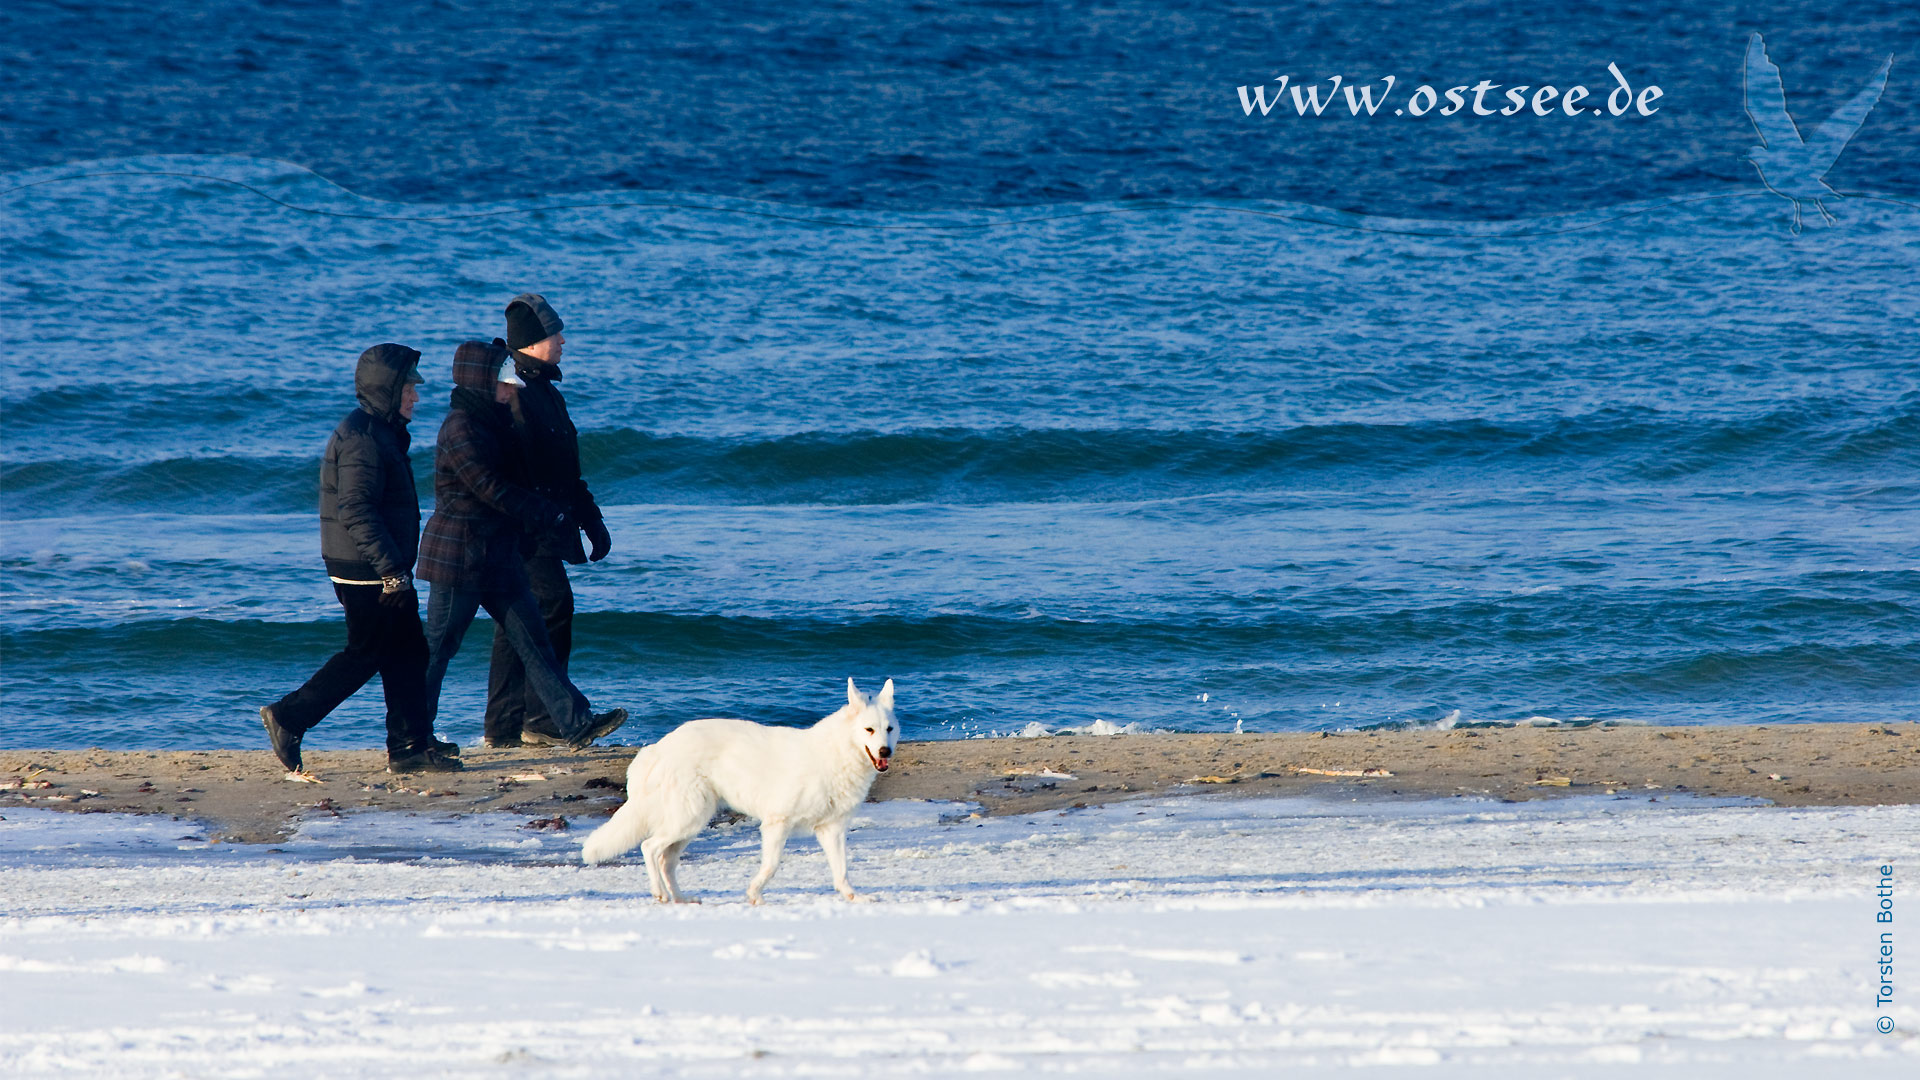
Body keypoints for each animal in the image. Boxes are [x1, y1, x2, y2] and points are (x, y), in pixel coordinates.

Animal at [579, 680, 894, 899]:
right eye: (868, 730)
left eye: (889, 729)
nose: (885, 751)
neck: (835, 754)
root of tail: (659, 747)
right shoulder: (777, 824)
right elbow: (771, 866)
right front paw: (754, 895)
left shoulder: (832, 830)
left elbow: (842, 871)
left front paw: (853, 898)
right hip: (687, 819)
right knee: (649, 847)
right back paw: (660, 893)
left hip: (690, 824)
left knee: (665, 860)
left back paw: (680, 899)